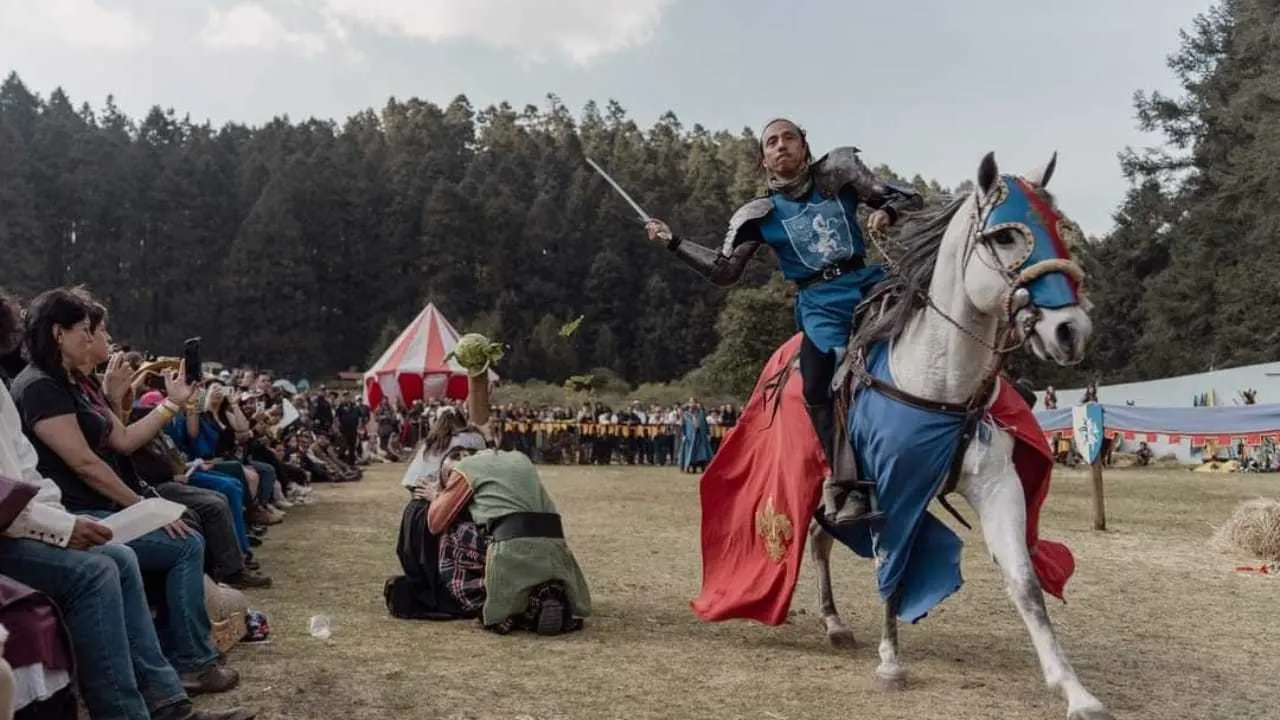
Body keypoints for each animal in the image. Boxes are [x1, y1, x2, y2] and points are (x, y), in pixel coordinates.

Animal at [803, 151, 1116, 717]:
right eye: (1006, 236)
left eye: (1058, 229)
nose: (1070, 331)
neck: (942, 382)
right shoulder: (893, 488)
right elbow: (893, 570)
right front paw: (891, 663)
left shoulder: (999, 487)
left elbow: (1025, 582)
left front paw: (1073, 688)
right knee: (815, 538)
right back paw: (833, 621)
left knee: (821, 534)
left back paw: (834, 622)